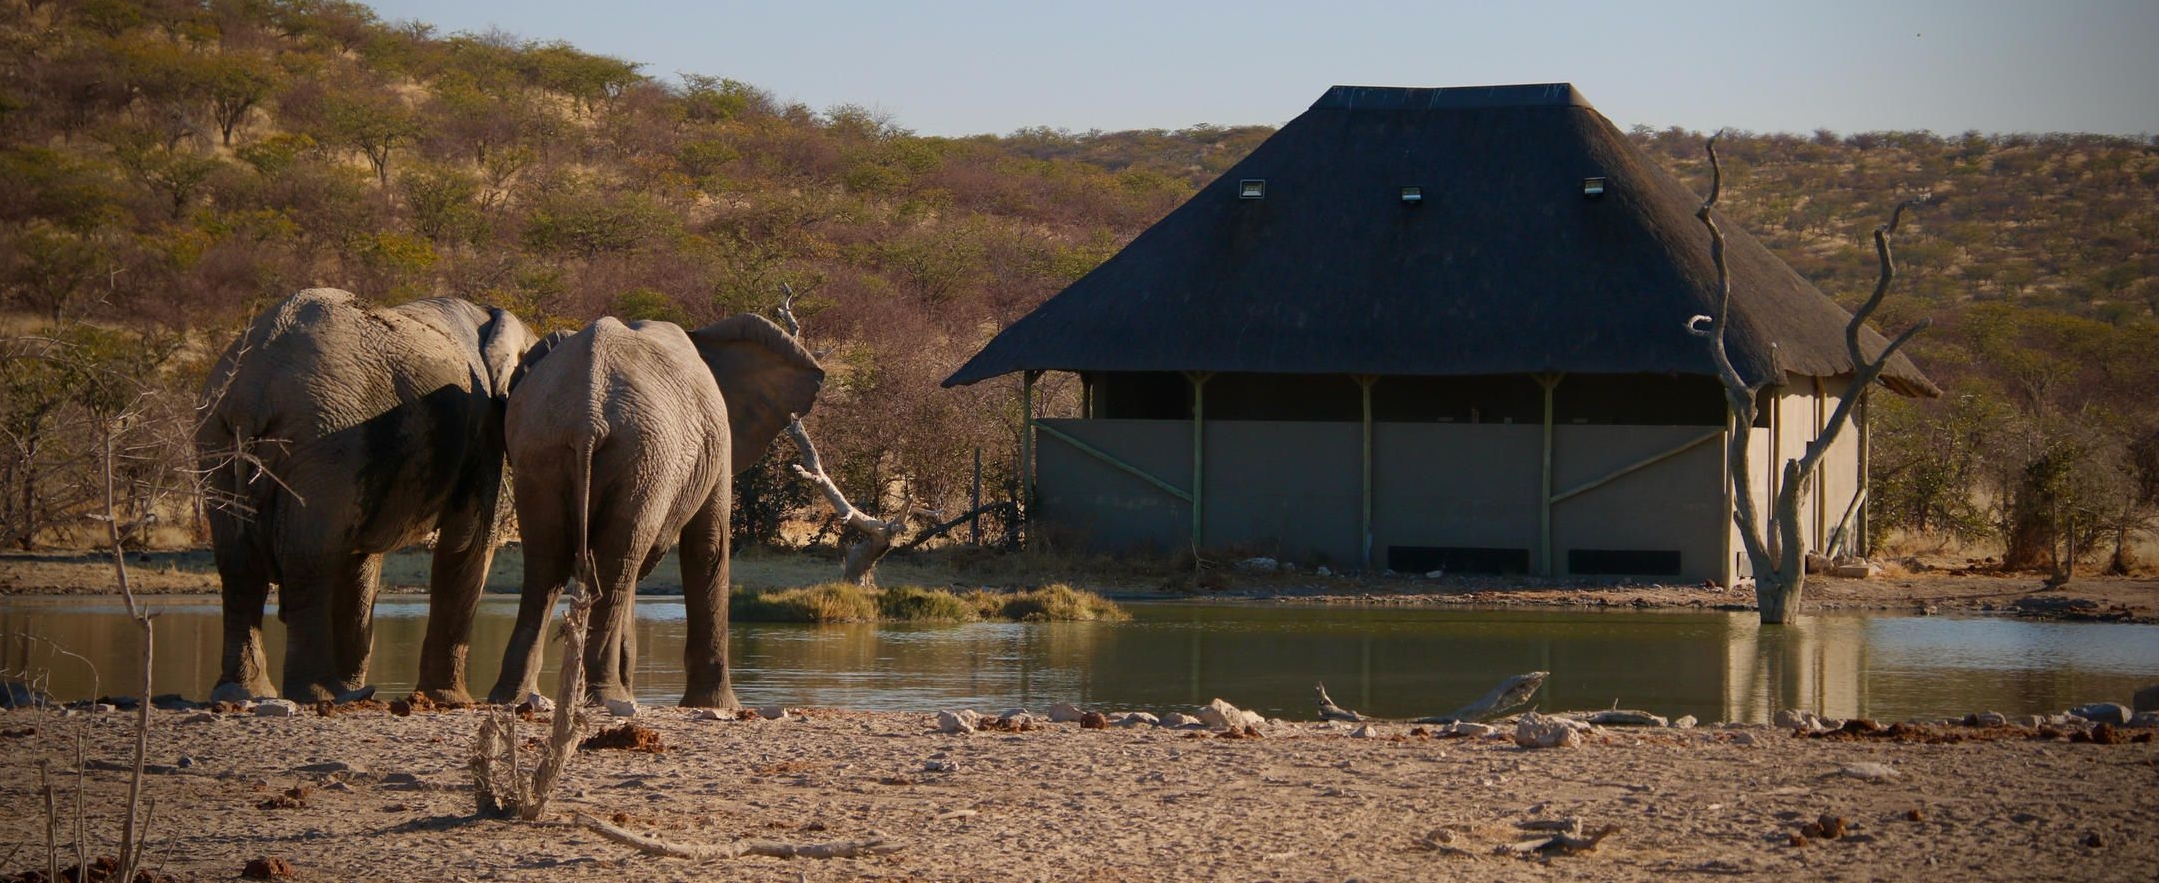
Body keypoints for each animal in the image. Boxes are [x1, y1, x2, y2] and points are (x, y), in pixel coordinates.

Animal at [198, 289, 535, 703]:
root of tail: (251, 392)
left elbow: (360, 562)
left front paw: (356, 686)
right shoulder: (482, 431)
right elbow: (468, 543)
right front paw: (451, 701)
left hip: (219, 439)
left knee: (239, 566)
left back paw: (246, 692)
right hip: (326, 440)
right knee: (308, 560)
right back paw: (320, 695)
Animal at [492, 313, 824, 703]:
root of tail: (588, 417)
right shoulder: (719, 437)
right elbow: (709, 547)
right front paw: (718, 705)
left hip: (542, 446)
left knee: (550, 562)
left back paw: (515, 696)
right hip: (644, 459)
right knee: (615, 564)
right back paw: (611, 697)